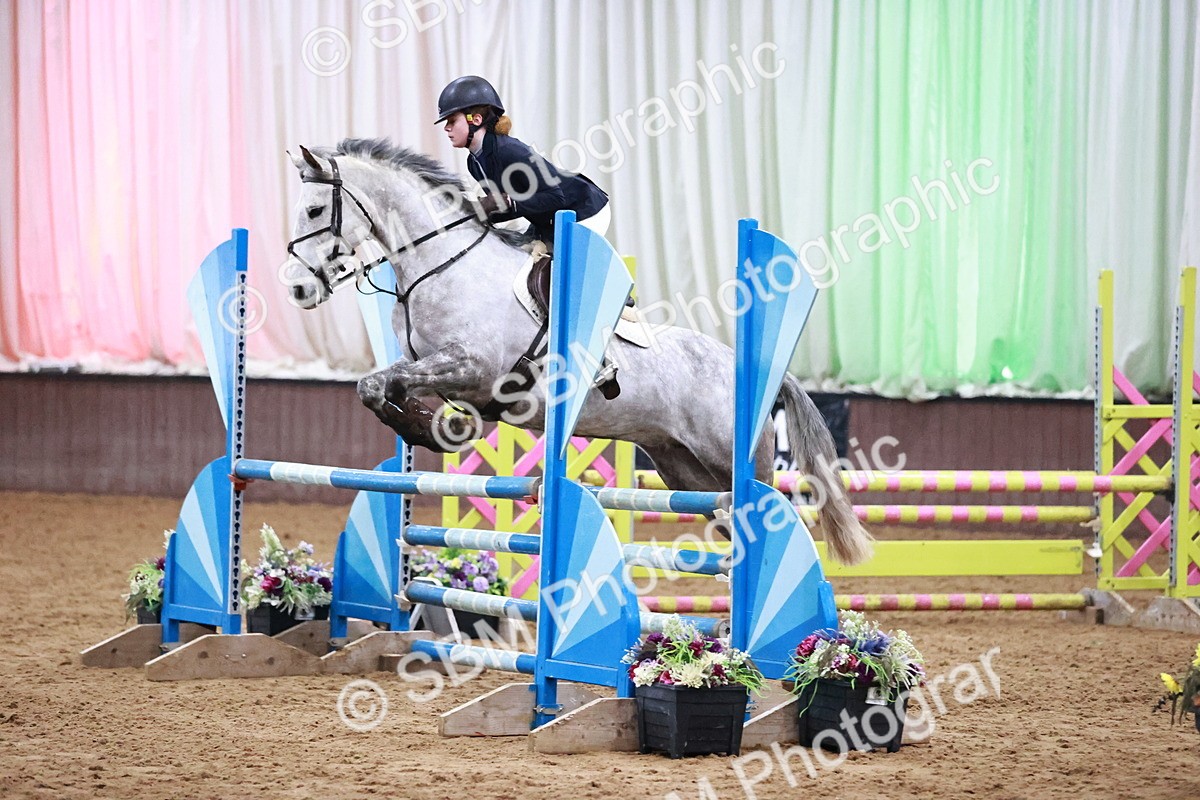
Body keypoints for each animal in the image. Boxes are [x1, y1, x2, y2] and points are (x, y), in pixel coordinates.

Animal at [283, 138, 871, 565]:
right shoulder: (438, 370)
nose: (298, 289)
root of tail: (756, 369)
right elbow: (377, 384)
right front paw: (424, 427)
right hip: (683, 469)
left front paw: (425, 427)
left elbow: (394, 382)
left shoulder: (474, 367)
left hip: (735, 458)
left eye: (313, 209)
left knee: (772, 514)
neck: (442, 264)